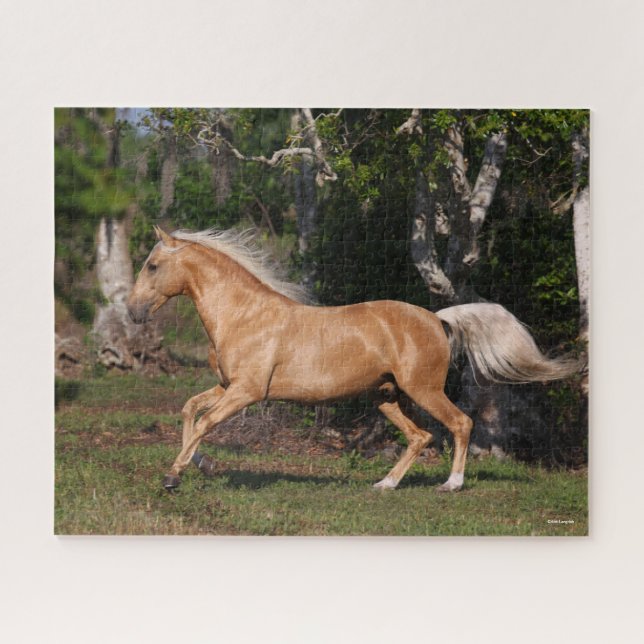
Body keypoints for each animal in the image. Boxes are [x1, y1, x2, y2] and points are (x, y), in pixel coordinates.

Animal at [127, 226, 580, 492]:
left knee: (460, 424)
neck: (243, 315)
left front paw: (173, 476)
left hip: (423, 390)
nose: (132, 312)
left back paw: (451, 484)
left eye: (152, 266)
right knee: (420, 436)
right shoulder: (226, 386)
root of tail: (437, 318)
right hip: (386, 397)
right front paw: (196, 463)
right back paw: (385, 484)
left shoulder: (246, 392)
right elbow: (191, 410)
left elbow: (205, 421)